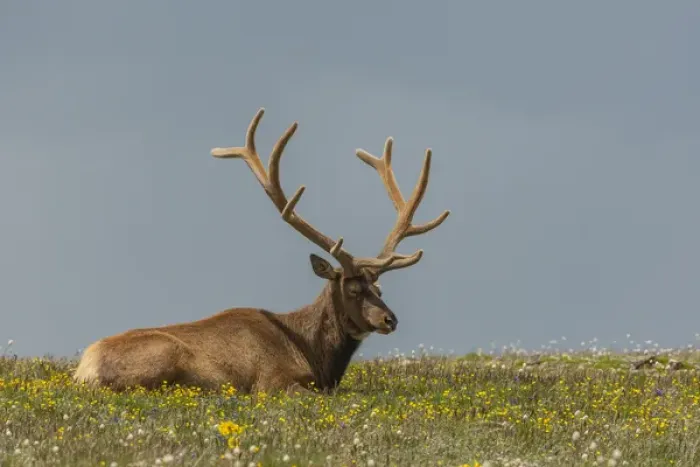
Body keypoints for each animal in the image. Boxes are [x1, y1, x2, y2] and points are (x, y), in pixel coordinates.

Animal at [73, 108, 450, 395]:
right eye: (353, 288)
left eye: (380, 288)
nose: (390, 319)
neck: (314, 356)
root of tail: (83, 370)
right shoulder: (272, 382)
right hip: (162, 358)